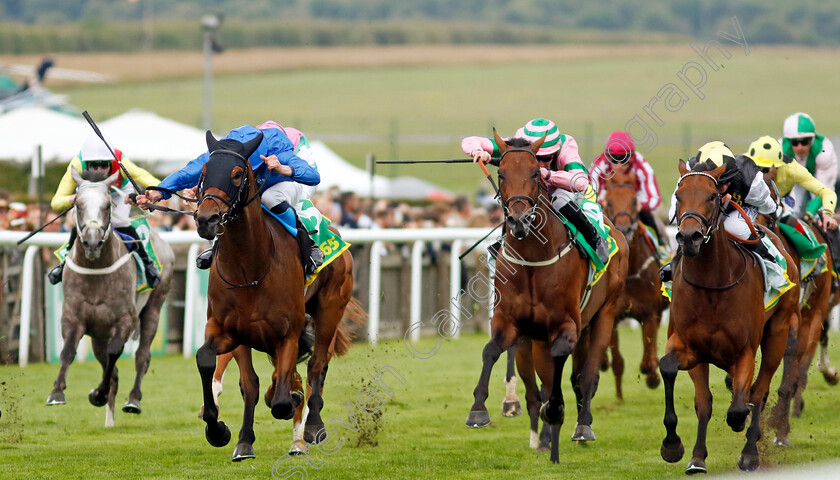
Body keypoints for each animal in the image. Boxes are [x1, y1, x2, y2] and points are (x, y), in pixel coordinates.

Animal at [44, 169, 174, 428]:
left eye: (106, 206)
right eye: (77, 204)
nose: (92, 242)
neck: (96, 272)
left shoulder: (125, 319)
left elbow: (115, 353)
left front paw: (99, 393)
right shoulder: (73, 317)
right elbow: (68, 351)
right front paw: (57, 393)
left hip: (153, 307)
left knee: (142, 356)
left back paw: (133, 400)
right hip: (98, 334)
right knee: (108, 365)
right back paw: (109, 415)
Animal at [194, 130, 364, 462]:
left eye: (237, 174)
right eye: (204, 172)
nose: (206, 219)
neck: (249, 268)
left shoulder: (288, 332)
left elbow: (284, 398)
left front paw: (289, 403)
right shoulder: (230, 330)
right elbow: (233, 374)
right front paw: (227, 434)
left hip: (330, 308)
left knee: (317, 365)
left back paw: (310, 429)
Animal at [466, 129, 632, 464]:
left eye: (534, 172)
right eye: (501, 173)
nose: (518, 221)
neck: (533, 259)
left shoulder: (566, 324)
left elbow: (564, 373)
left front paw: (556, 411)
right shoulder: (510, 323)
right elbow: (491, 352)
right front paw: (478, 410)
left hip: (604, 314)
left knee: (587, 375)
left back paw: (583, 427)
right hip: (536, 338)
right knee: (541, 382)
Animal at [664, 160, 800, 472]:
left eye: (712, 196)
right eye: (678, 196)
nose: (689, 237)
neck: (712, 286)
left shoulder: (744, 352)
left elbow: (740, 405)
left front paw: (741, 428)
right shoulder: (689, 348)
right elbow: (692, 392)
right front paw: (684, 452)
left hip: (778, 333)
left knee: (760, 391)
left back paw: (750, 451)